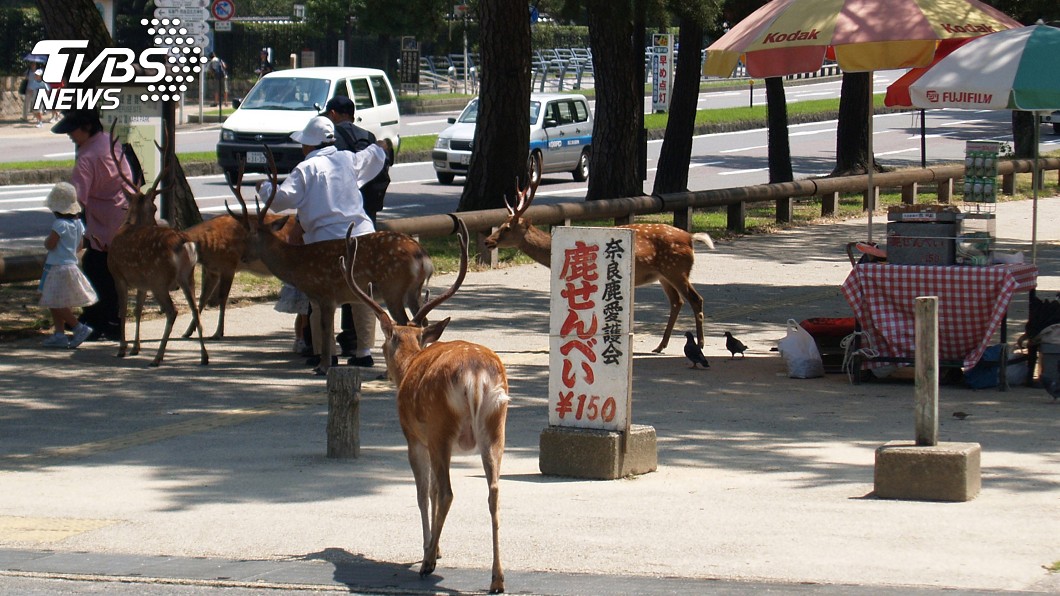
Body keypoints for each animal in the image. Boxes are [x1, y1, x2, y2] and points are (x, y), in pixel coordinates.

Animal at [103, 123, 208, 364]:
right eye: (154, 207)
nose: (154, 220)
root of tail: (183, 243)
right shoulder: (142, 283)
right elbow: (138, 310)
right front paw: (136, 347)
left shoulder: (118, 275)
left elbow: (123, 310)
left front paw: (123, 348)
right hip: (187, 277)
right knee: (196, 311)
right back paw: (204, 356)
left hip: (159, 278)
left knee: (173, 311)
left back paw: (158, 357)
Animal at [230, 147, 432, 371]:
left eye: (248, 237)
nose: (243, 257)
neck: (297, 266)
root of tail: (423, 257)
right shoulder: (321, 298)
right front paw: (324, 363)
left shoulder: (326, 293)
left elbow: (326, 328)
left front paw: (324, 366)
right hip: (413, 290)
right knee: (423, 322)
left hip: (393, 288)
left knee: (407, 322)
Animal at [339, 217, 504, 589]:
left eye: (384, 344)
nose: (386, 372)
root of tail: (475, 376)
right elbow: (429, 490)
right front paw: (437, 547)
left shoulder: (415, 436)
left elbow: (422, 492)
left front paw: (432, 548)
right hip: (495, 426)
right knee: (493, 491)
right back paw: (497, 578)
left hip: (441, 426)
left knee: (446, 491)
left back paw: (427, 565)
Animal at [485, 176, 716, 352]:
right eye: (501, 224)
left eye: (507, 228)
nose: (488, 241)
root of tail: (690, 237)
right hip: (664, 275)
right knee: (677, 301)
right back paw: (660, 346)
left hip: (676, 269)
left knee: (696, 299)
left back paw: (700, 344)